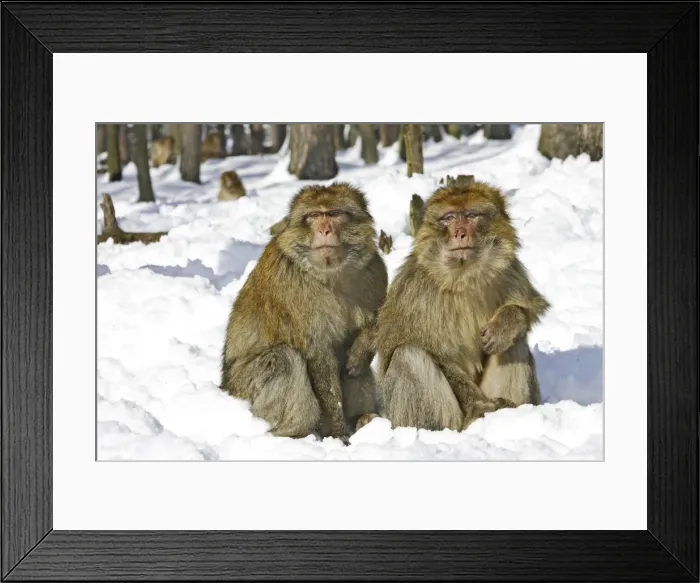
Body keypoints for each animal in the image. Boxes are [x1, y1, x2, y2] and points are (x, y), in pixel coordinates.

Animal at [221, 182, 388, 440]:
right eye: (314, 216)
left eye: (334, 214)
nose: (325, 230)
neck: (330, 274)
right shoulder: (291, 285)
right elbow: (318, 356)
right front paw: (338, 434)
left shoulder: (375, 270)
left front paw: (361, 349)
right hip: (243, 389)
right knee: (284, 360)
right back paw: (293, 432)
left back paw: (364, 418)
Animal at [375, 181, 550, 432]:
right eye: (449, 218)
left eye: (471, 215)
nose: (460, 233)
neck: (464, 277)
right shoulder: (417, 292)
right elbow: (437, 354)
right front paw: (478, 405)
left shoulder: (509, 269)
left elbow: (528, 309)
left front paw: (506, 324)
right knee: (408, 355)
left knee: (515, 341)